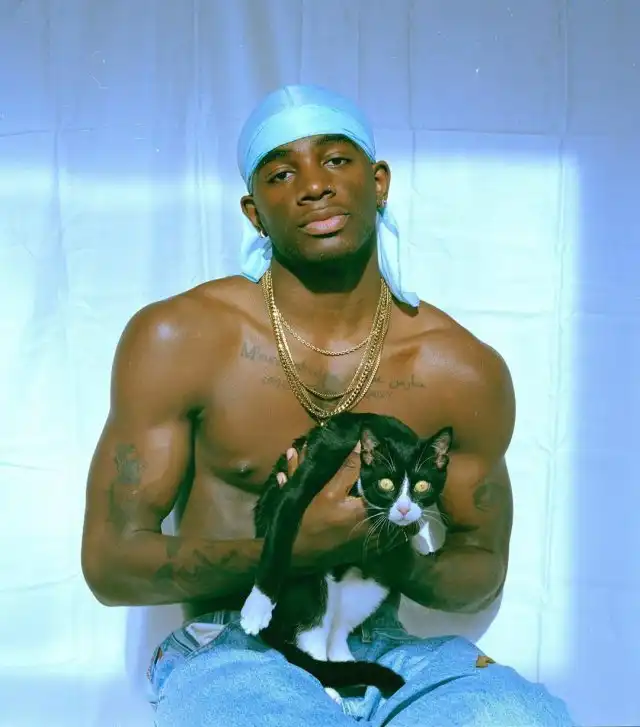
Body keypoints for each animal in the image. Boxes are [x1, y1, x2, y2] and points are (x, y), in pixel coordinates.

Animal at [239, 411, 453, 701]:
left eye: (422, 486)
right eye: (386, 483)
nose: (404, 509)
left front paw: (417, 536)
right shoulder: (310, 471)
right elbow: (282, 530)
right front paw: (257, 607)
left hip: (370, 585)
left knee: (338, 630)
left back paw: (346, 665)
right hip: (307, 577)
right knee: (312, 630)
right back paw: (328, 688)